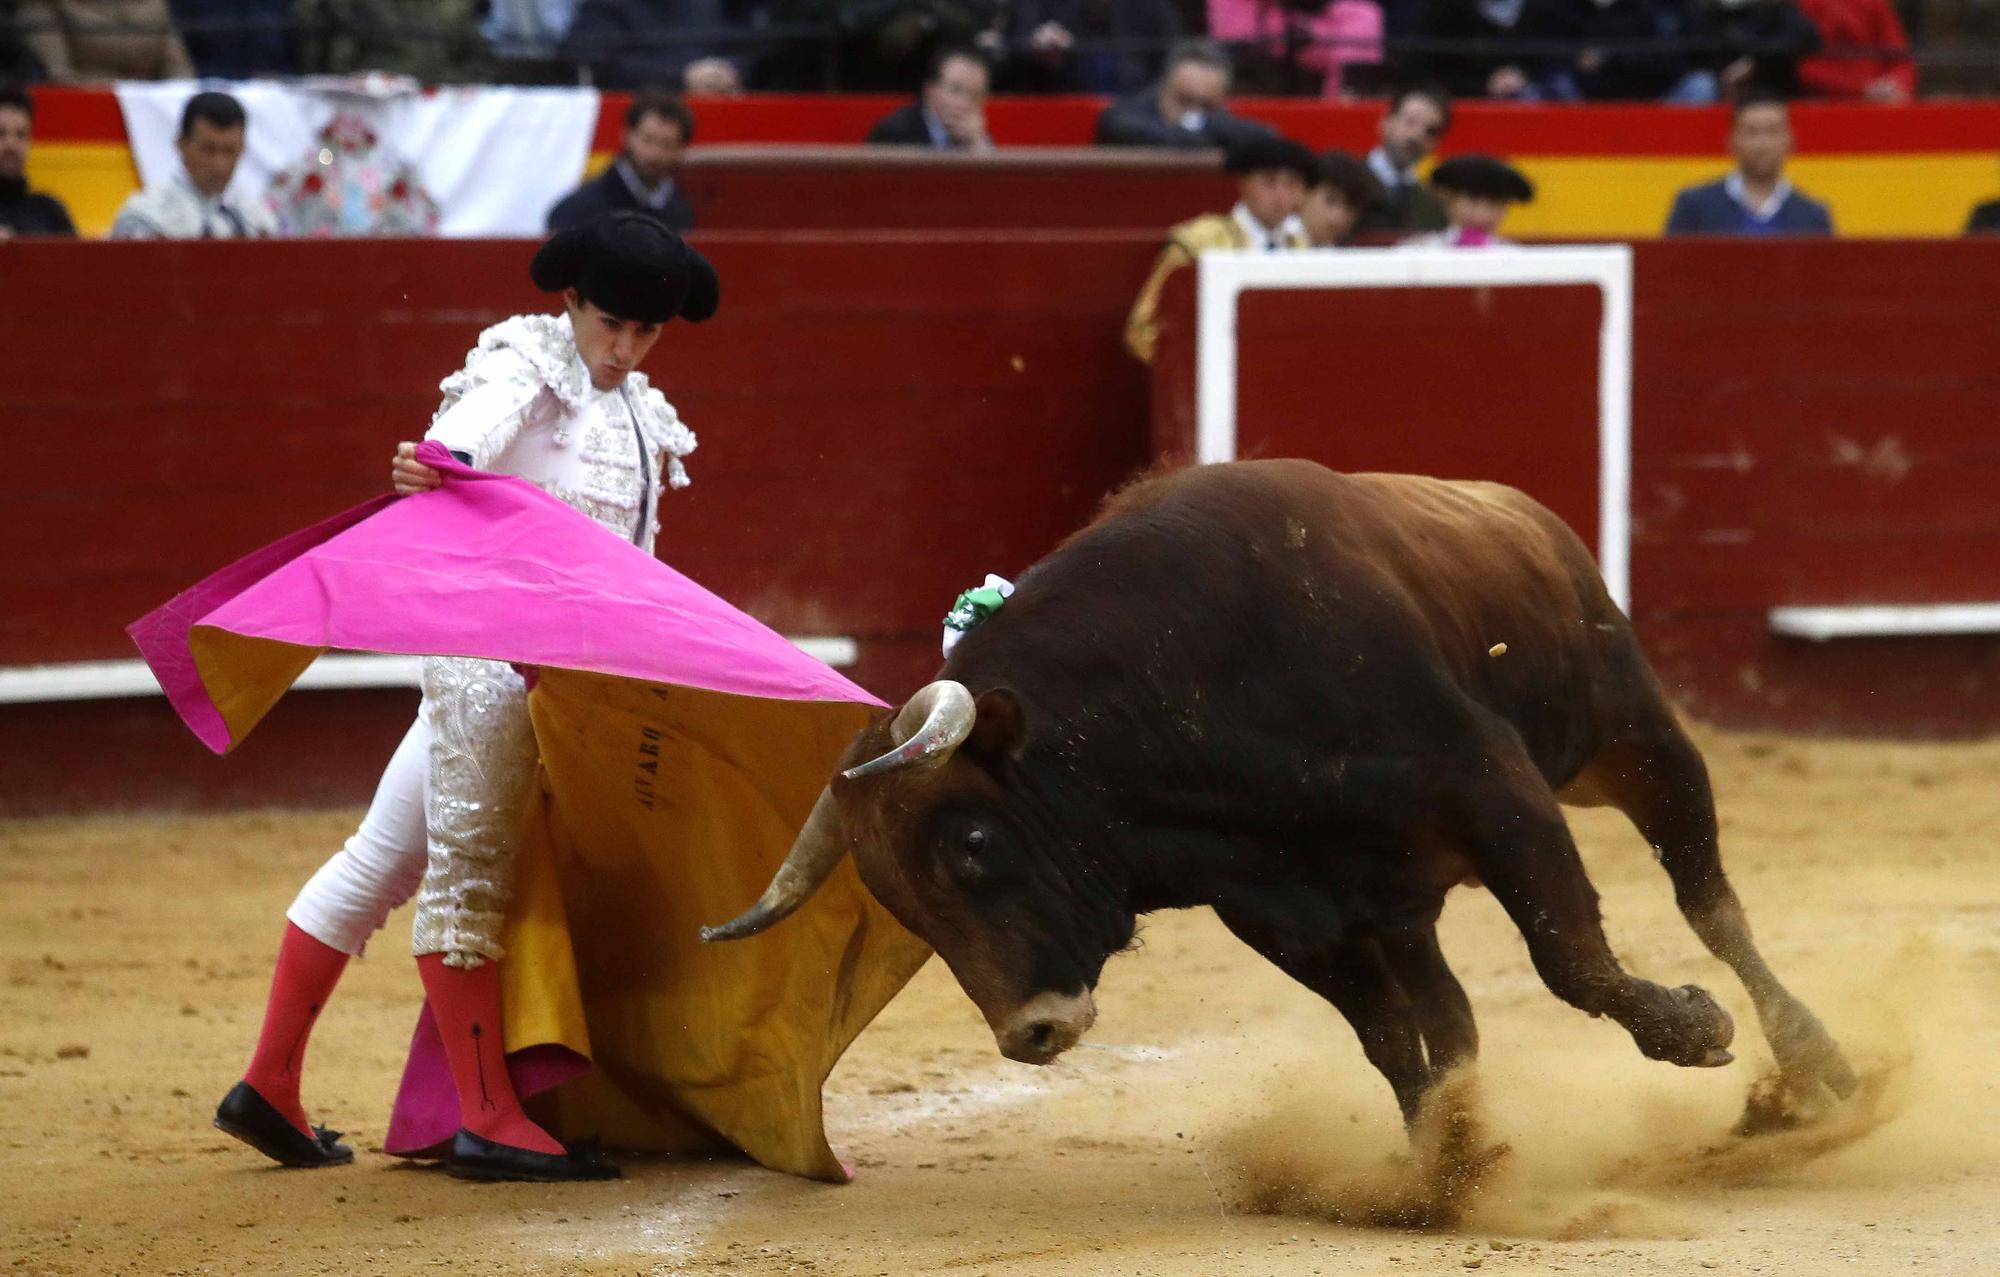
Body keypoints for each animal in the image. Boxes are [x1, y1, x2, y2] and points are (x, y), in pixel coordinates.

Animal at [704, 464, 1856, 1144]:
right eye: (901, 902)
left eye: (976, 841)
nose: (1031, 1031)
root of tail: (1517, 508)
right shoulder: (1282, 911)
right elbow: (1389, 1036)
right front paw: (1445, 1168)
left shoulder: (1499, 793)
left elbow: (1569, 958)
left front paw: (1693, 1030)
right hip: (1404, 898)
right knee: (1451, 1011)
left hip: (1633, 739)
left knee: (1708, 899)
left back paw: (1817, 1063)